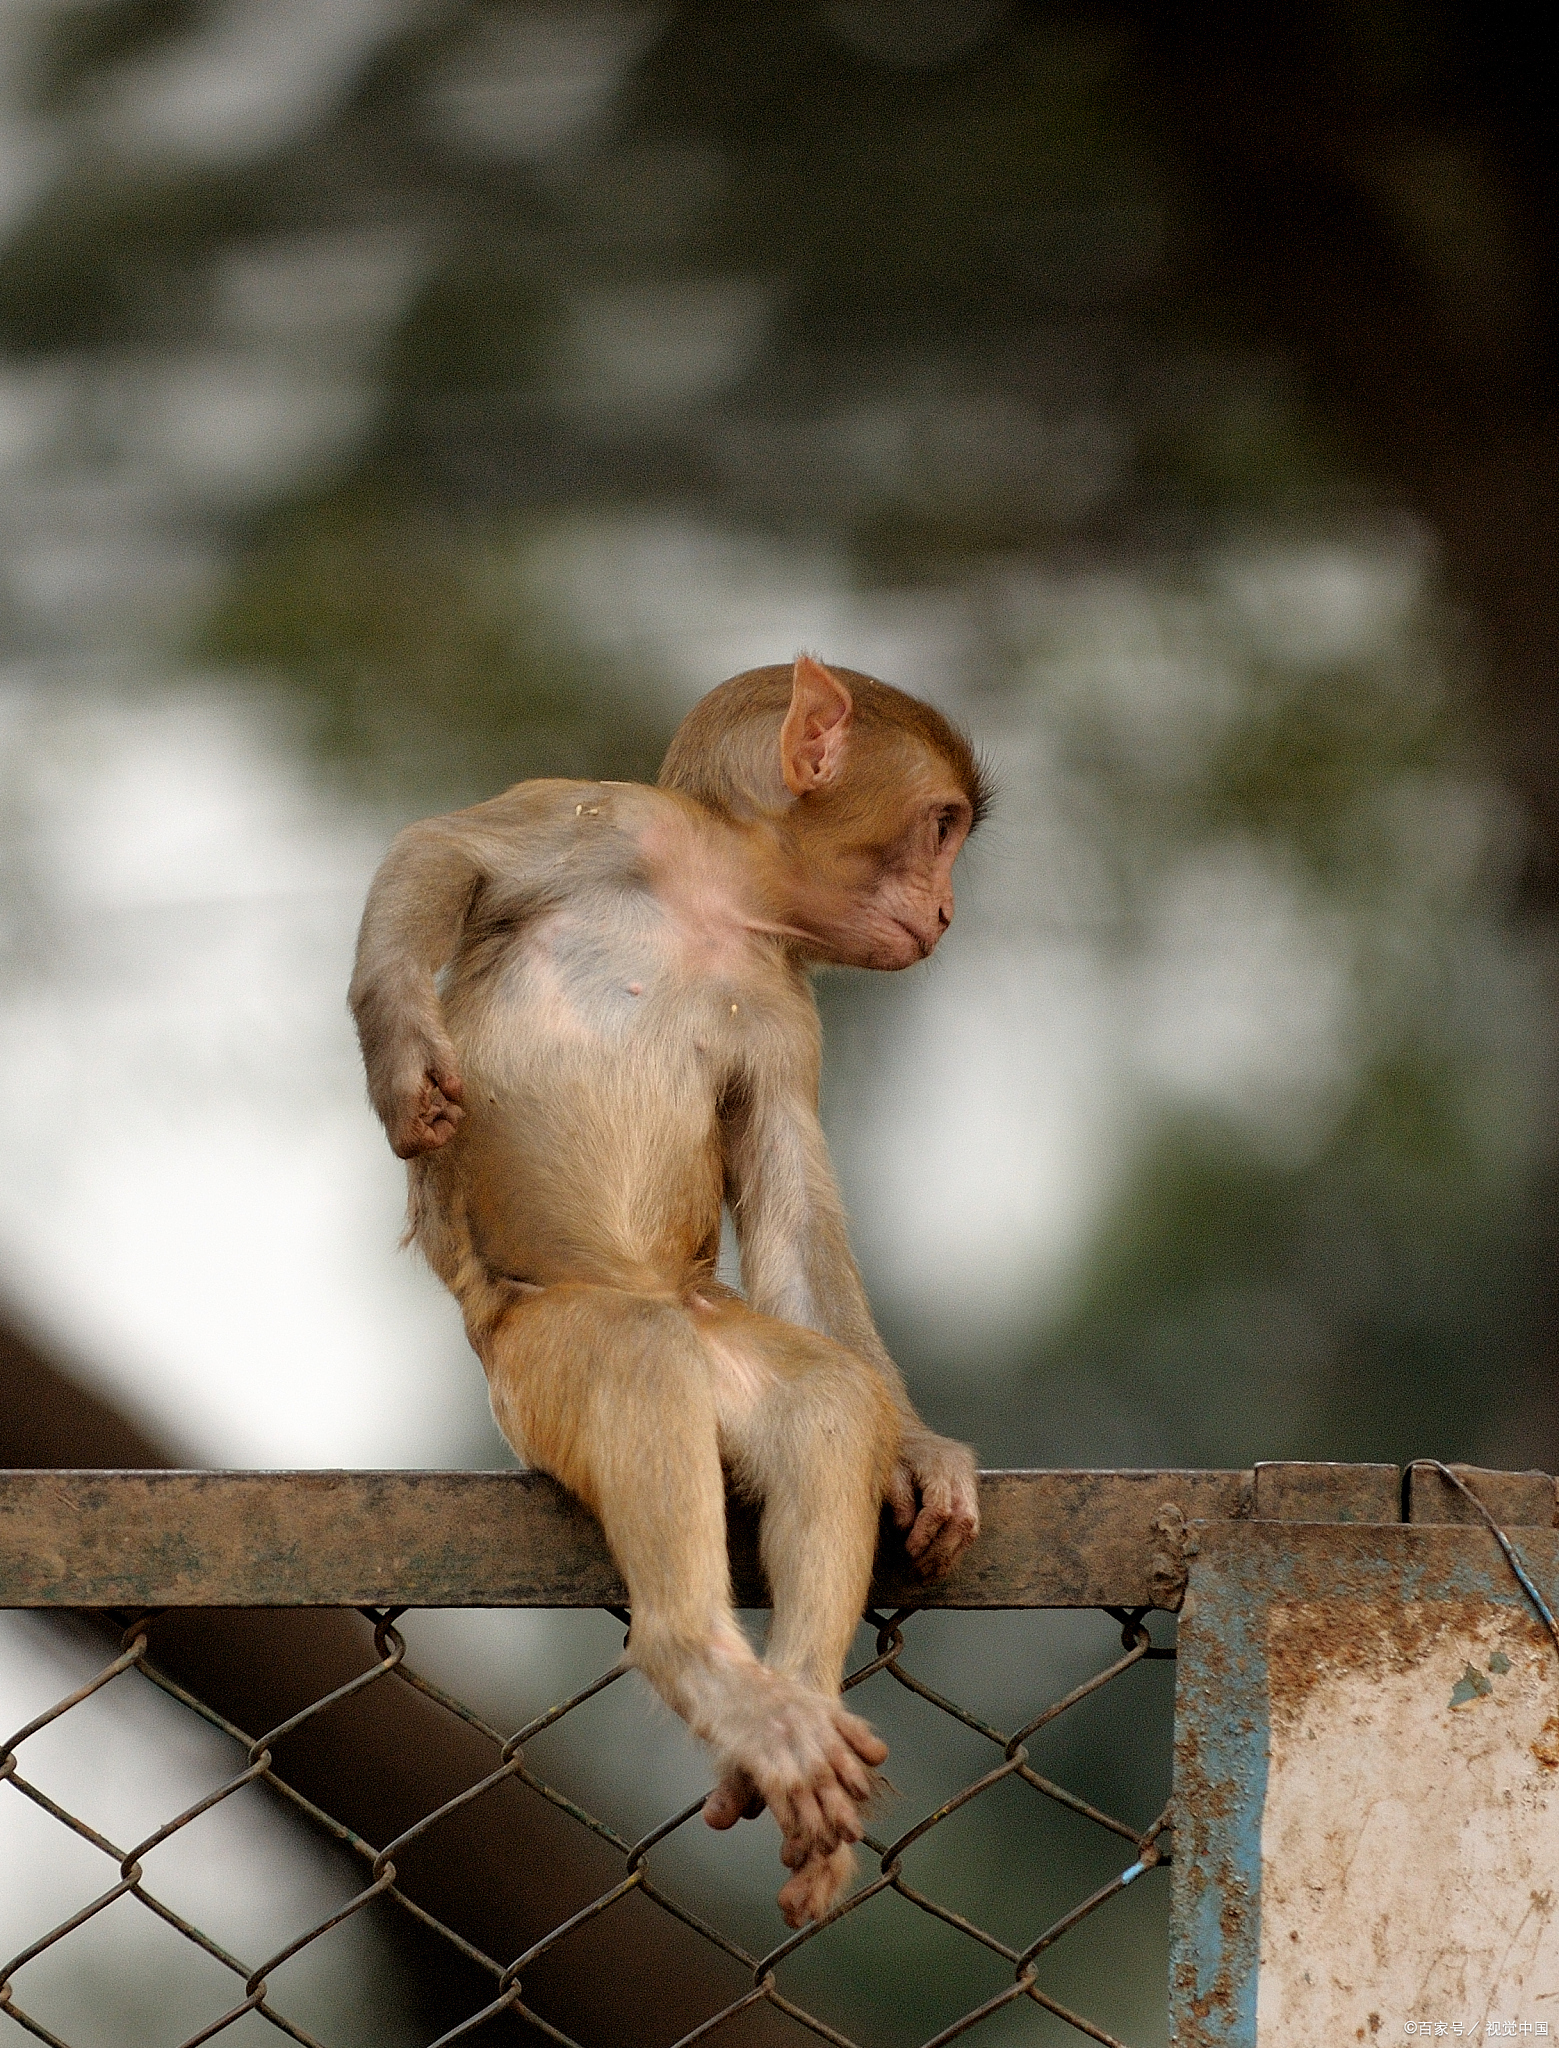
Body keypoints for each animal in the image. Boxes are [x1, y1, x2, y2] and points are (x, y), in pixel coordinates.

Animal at [350, 651, 983, 1916]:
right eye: (939, 826)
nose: (944, 911)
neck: (718, 904)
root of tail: (662, 1296)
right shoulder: (601, 818)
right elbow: (443, 849)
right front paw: (402, 1052)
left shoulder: (784, 1009)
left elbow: (790, 1215)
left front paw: (922, 1450)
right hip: (539, 1356)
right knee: (636, 1360)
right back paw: (705, 1662)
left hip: (713, 1320)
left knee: (820, 1396)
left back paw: (788, 1714)